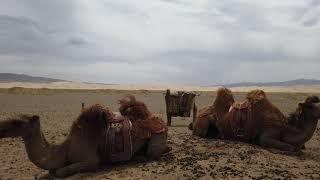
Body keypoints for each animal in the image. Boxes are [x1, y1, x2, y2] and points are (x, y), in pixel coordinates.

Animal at [0, 95, 170, 177]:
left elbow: (60, 172)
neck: (65, 149)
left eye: (17, 123)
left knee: (154, 152)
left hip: (159, 134)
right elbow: (52, 171)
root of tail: (157, 118)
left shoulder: (91, 161)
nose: (1, 128)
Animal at [189, 88, 320, 153]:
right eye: (312, 106)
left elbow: (301, 147)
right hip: (203, 124)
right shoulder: (267, 135)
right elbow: (292, 148)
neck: (286, 128)